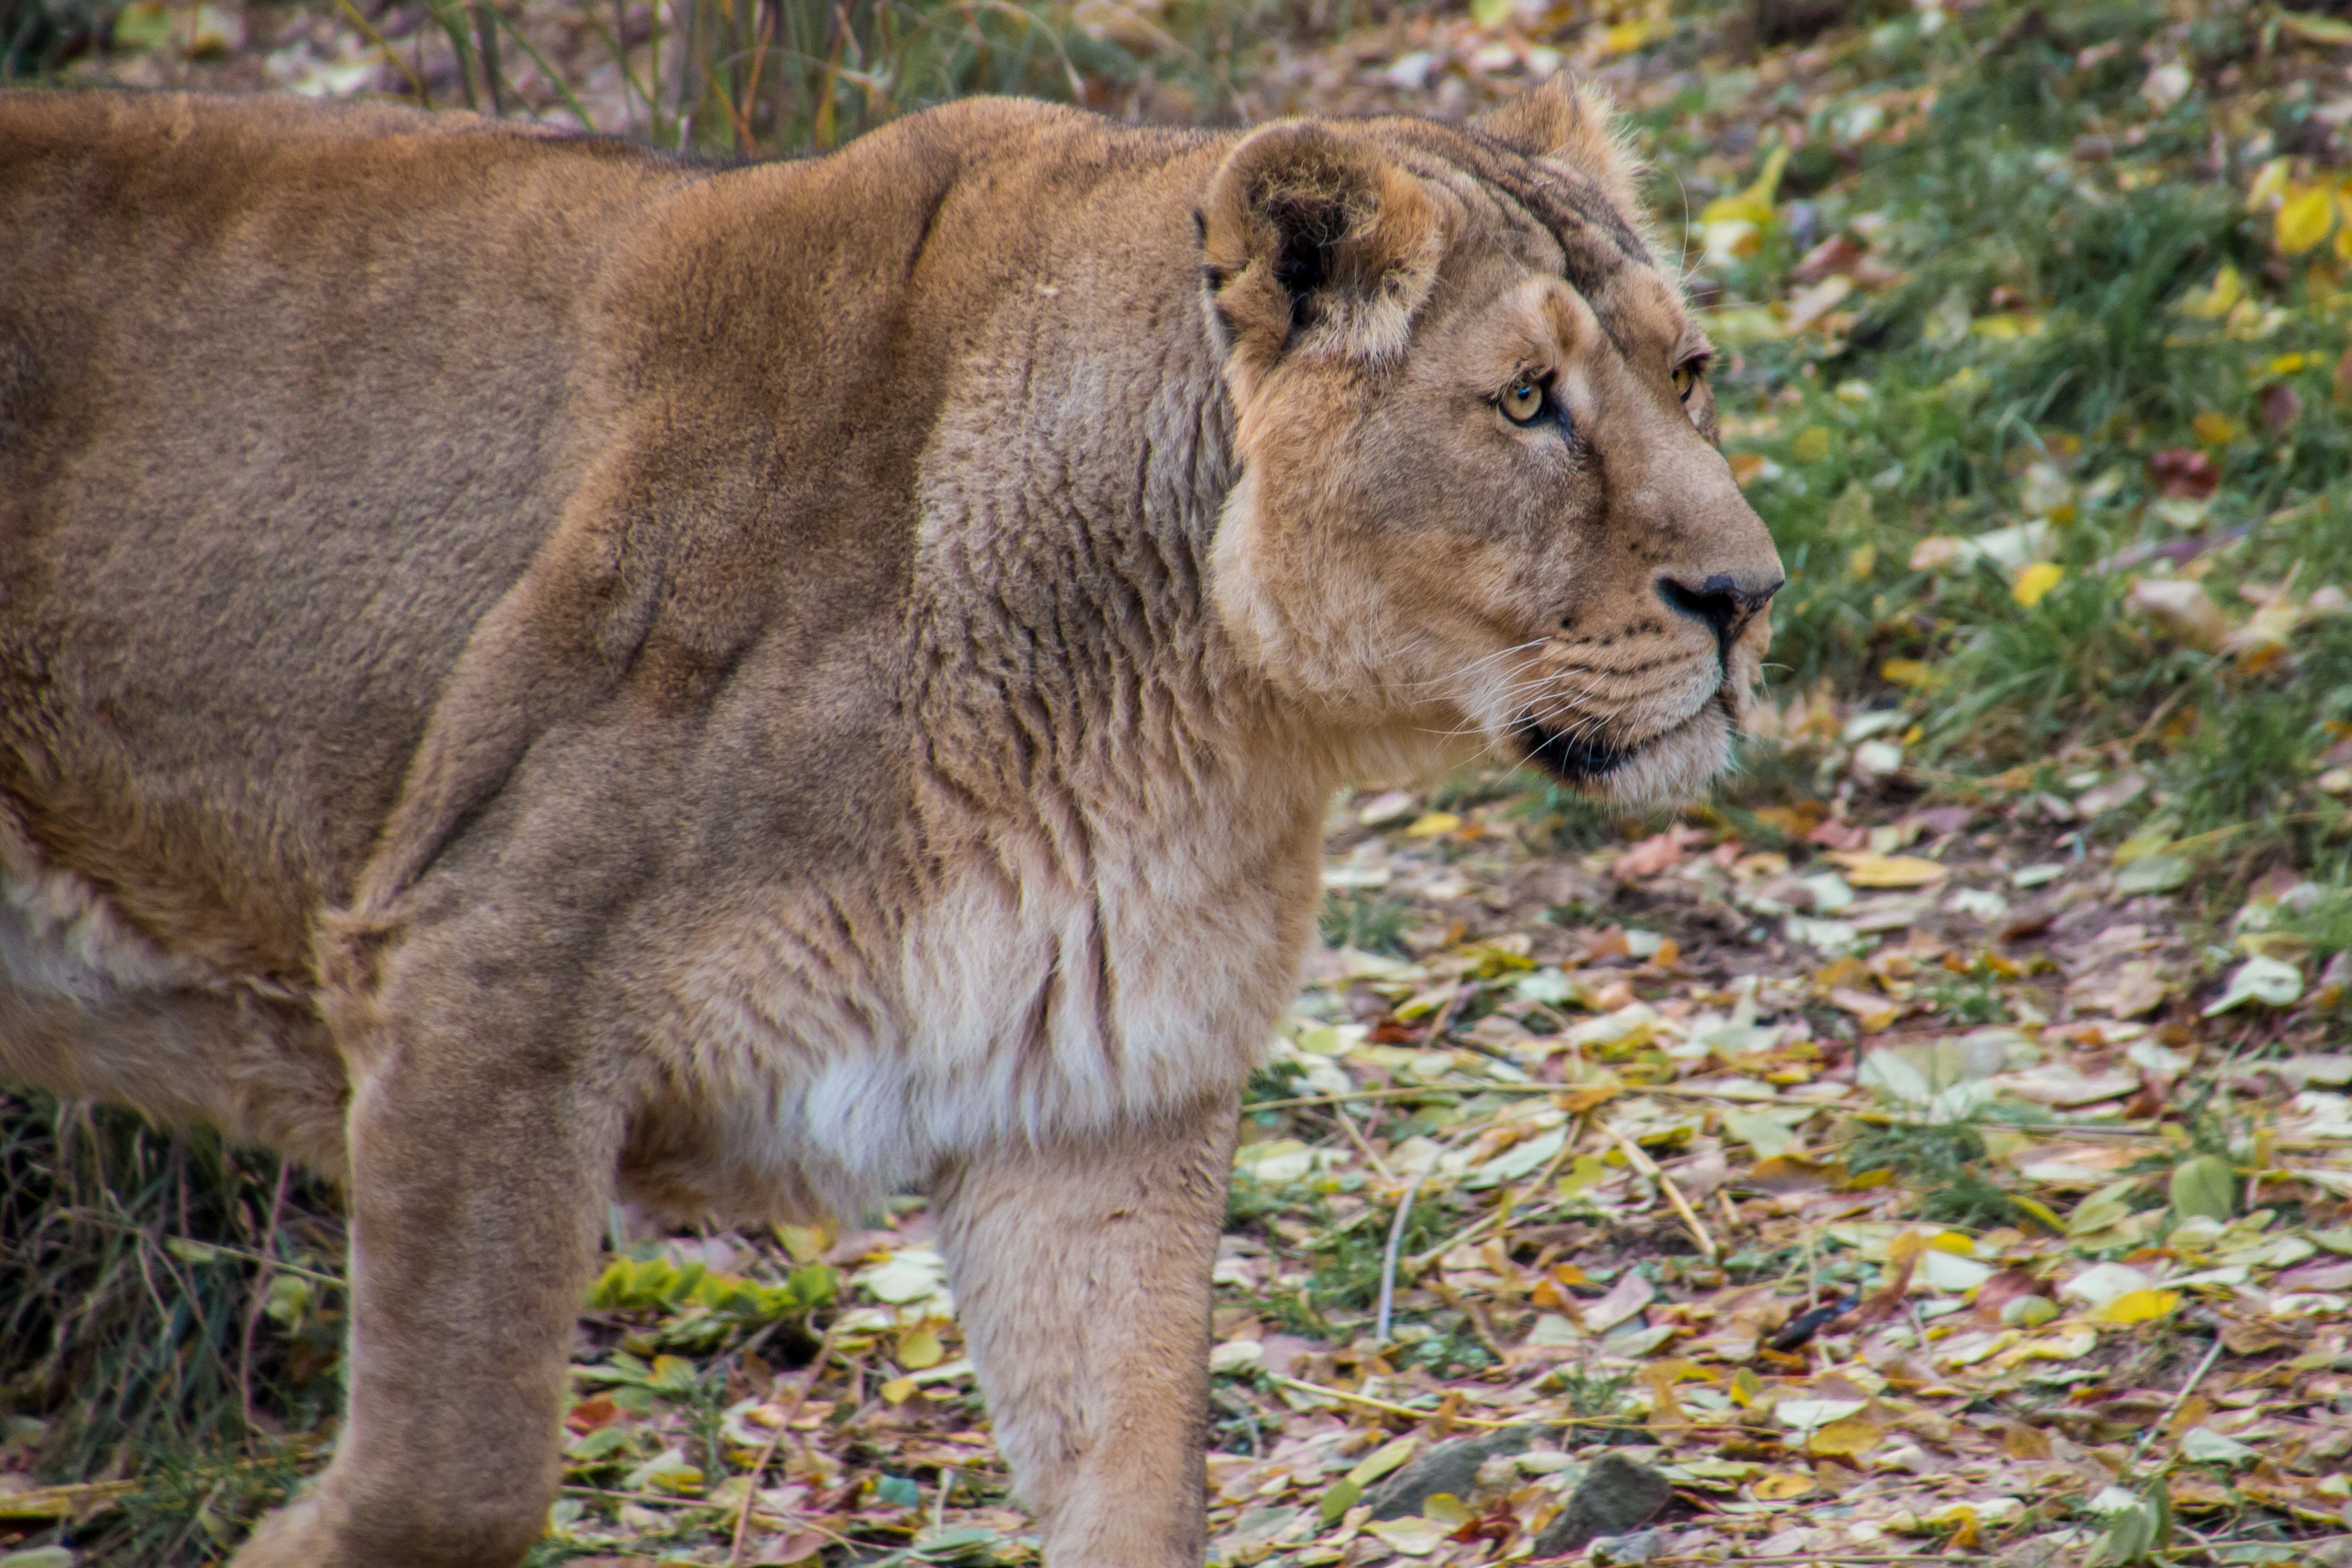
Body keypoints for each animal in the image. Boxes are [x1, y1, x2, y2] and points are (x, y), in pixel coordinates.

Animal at [0, 80, 1768, 1561]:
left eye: (1687, 374)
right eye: (1526, 402)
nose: (1749, 598)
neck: (1190, 713)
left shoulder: (1095, 1103)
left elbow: (1138, 1486)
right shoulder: (474, 990)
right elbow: (450, 1476)